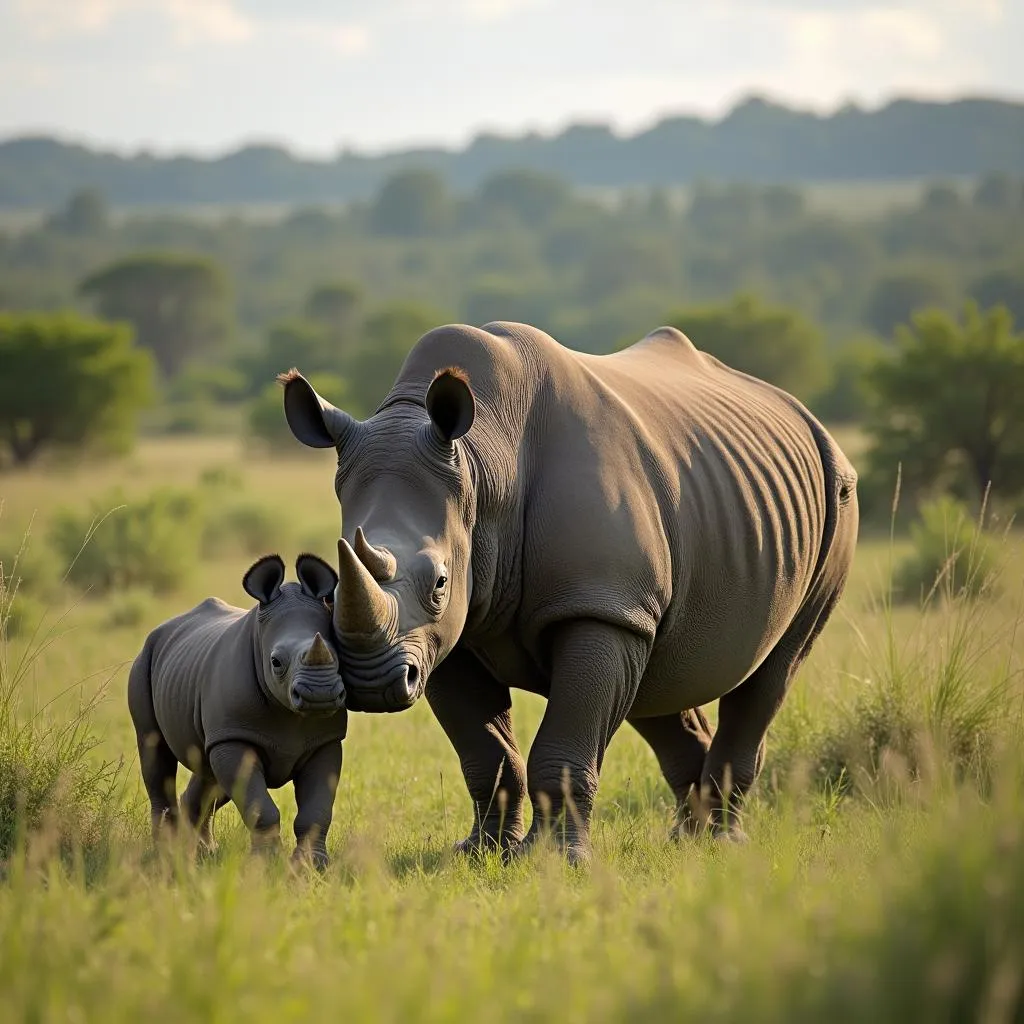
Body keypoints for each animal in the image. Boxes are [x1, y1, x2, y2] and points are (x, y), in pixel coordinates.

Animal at [130, 557, 346, 868]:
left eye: (340, 655)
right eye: (275, 662)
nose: (320, 694)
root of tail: (161, 629)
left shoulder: (324, 741)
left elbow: (316, 810)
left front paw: (312, 866)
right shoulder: (234, 736)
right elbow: (259, 808)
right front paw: (266, 865)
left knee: (209, 774)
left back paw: (201, 852)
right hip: (143, 662)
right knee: (156, 756)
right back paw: (168, 854)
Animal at [278, 321, 856, 864]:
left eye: (440, 582)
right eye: (331, 584)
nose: (371, 683)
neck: (485, 465)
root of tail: (801, 413)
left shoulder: (596, 604)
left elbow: (564, 737)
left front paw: (554, 861)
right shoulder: (444, 636)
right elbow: (484, 752)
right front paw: (481, 853)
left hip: (836, 497)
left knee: (774, 670)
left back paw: (722, 842)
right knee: (659, 673)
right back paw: (687, 839)